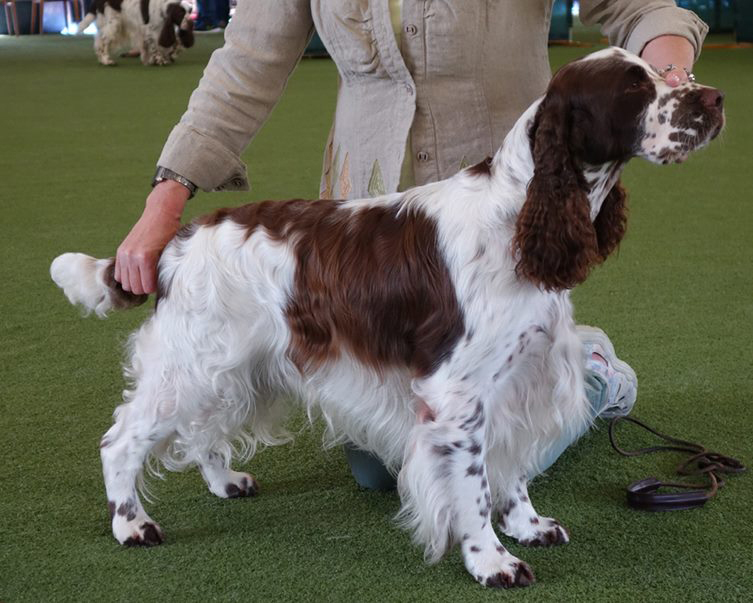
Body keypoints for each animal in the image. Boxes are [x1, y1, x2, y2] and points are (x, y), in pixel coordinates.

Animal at [50, 50, 720, 588]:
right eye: (632, 89)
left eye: (660, 72)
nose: (714, 99)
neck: (519, 217)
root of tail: (174, 244)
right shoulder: (457, 396)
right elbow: (474, 487)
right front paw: (491, 562)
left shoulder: (517, 378)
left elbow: (511, 470)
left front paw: (527, 526)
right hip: (191, 364)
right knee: (121, 439)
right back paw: (132, 525)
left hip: (240, 365)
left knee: (204, 431)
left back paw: (225, 482)